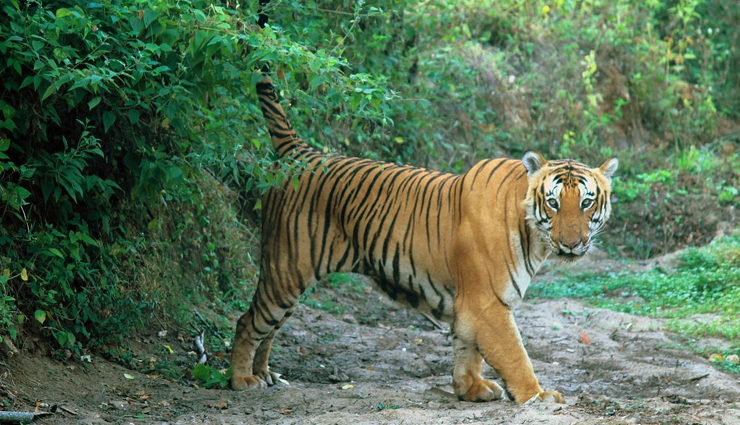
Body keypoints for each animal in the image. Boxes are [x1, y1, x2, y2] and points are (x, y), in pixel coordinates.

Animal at [230, 76, 619, 405]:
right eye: (553, 202)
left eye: (586, 202)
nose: (572, 243)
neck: (533, 235)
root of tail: (301, 152)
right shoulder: (488, 303)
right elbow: (514, 354)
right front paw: (537, 395)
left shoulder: (470, 305)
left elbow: (467, 349)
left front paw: (470, 388)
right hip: (285, 269)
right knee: (249, 321)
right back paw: (242, 381)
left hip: (290, 280)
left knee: (270, 329)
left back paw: (265, 374)